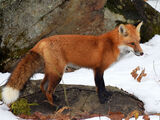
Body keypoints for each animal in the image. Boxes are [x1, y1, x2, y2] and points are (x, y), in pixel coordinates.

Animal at [1, 22, 144, 105]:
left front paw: (107, 95)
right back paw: (55, 107)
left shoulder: (100, 70)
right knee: (48, 90)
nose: (142, 53)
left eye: (139, 41)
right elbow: (100, 86)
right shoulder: (98, 69)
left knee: (42, 86)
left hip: (51, 71)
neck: (112, 45)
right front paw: (102, 100)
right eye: (132, 43)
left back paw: (54, 99)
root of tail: (42, 41)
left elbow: (103, 86)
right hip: (58, 73)